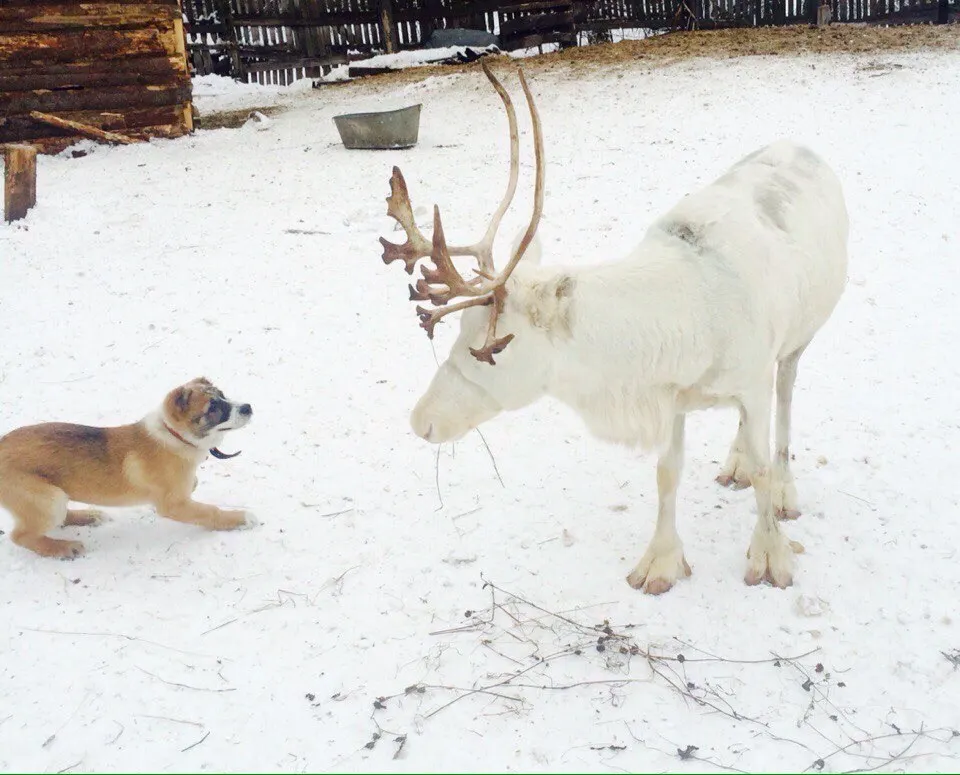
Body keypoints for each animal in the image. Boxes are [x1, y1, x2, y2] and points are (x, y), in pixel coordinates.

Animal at [376, 62, 849, 594]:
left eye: (492, 348)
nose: (422, 420)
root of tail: (802, 147)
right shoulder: (673, 395)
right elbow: (667, 473)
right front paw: (660, 562)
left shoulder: (750, 377)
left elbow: (765, 468)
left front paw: (770, 555)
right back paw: (736, 462)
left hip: (797, 341)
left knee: (784, 404)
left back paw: (785, 489)